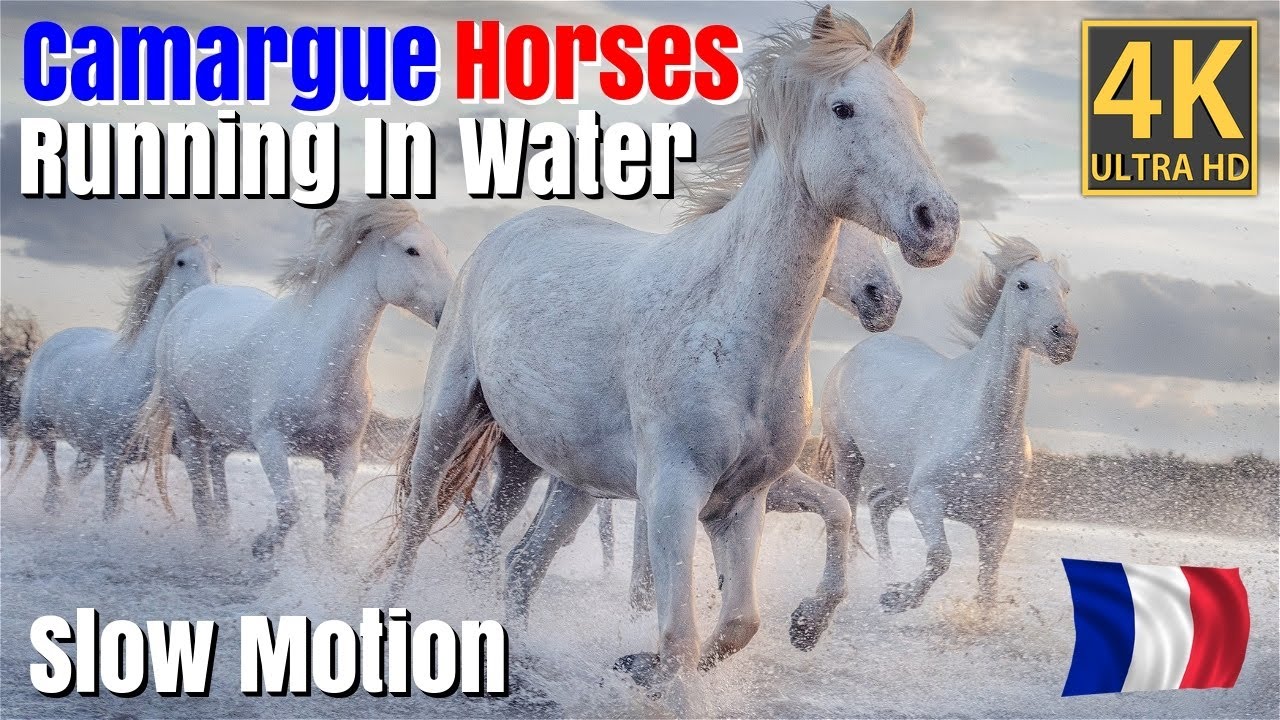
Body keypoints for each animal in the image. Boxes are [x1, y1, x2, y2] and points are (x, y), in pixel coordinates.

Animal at [15, 229, 218, 517]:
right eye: (180, 262)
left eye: (216, 266)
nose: (207, 297)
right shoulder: (113, 454)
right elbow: (110, 509)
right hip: (40, 430)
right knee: (53, 473)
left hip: (88, 449)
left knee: (71, 477)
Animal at [135, 198, 454, 557]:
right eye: (412, 250)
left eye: (443, 249)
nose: (450, 309)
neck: (319, 363)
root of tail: (194, 299)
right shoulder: (271, 442)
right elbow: (290, 508)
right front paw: (261, 547)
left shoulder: (344, 455)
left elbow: (334, 520)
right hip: (186, 421)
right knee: (200, 494)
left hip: (223, 431)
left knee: (216, 474)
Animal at [384, 5, 956, 687]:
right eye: (844, 108)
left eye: (917, 109)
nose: (937, 224)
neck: (731, 324)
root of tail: (510, 231)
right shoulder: (672, 494)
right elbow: (682, 635)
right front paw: (658, 664)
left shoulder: (742, 499)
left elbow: (744, 618)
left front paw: (790, 630)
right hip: (450, 419)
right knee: (415, 525)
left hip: (567, 479)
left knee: (520, 564)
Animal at [822, 231, 1077, 613]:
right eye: (1022, 284)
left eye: (1065, 289)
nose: (1065, 337)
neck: (984, 427)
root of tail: (855, 352)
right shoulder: (926, 498)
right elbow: (941, 557)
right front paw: (899, 599)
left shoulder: (998, 521)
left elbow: (987, 585)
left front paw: (899, 593)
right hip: (849, 458)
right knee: (850, 514)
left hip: (898, 479)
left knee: (879, 504)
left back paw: (888, 575)